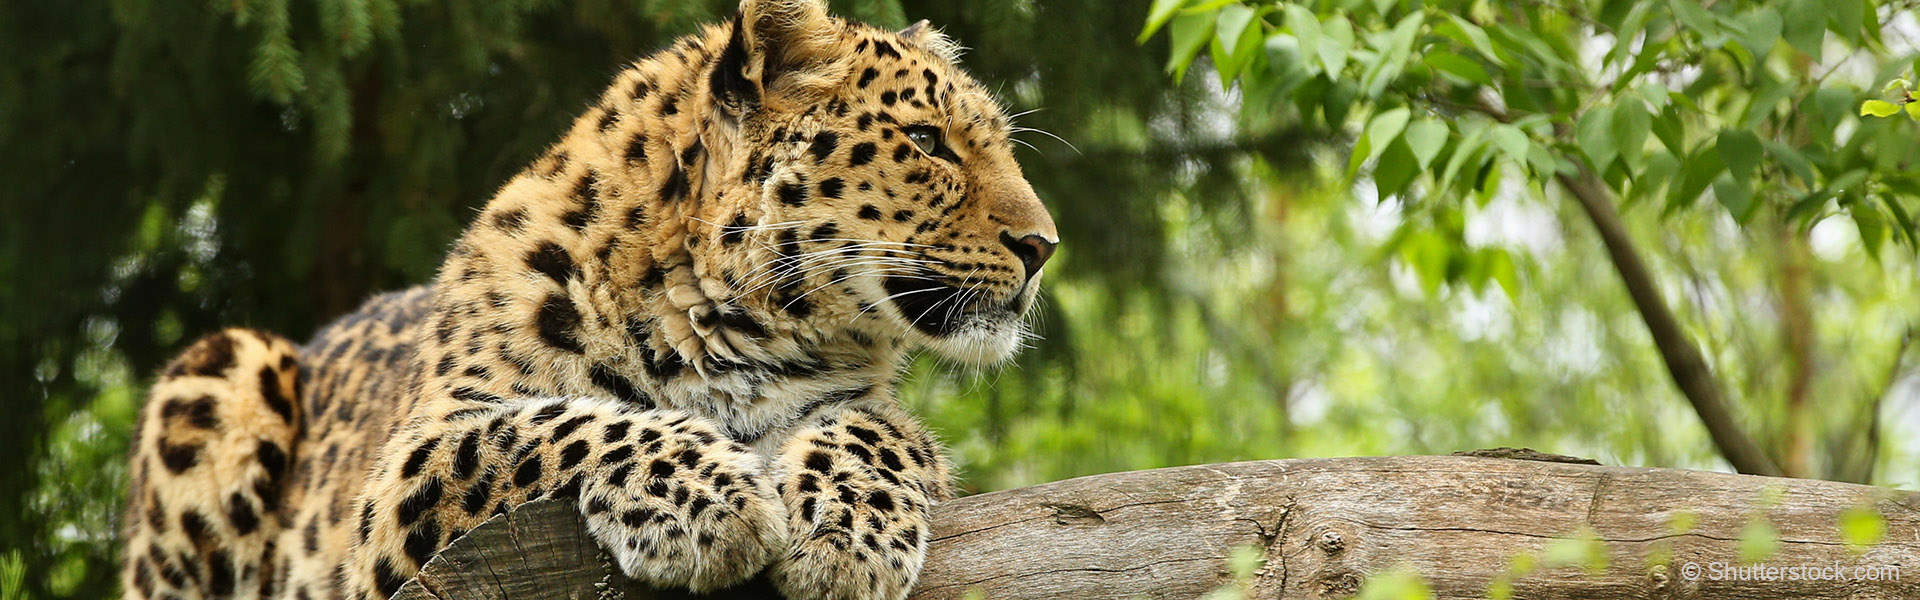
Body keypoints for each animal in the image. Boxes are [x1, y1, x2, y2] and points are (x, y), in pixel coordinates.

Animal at [116, 1, 1059, 599]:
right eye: (927, 141)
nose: (1044, 247)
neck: (729, 325)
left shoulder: (869, 415)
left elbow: (878, 431)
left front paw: (848, 539)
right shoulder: (407, 471)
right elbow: (556, 424)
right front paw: (711, 503)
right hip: (217, 373)